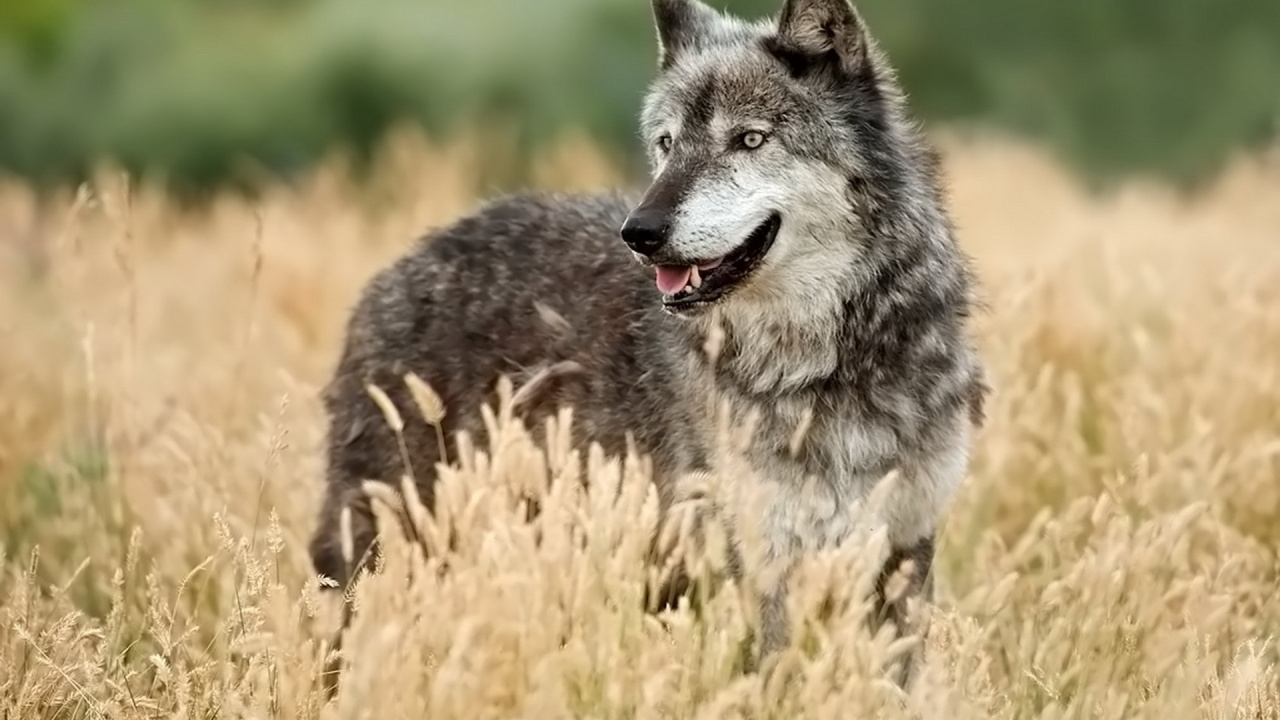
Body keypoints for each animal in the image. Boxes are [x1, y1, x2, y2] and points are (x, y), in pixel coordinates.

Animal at [309, 0, 986, 689]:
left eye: (749, 139)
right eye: (667, 144)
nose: (640, 232)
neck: (826, 361)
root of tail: (398, 268)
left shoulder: (903, 551)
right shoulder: (758, 564)